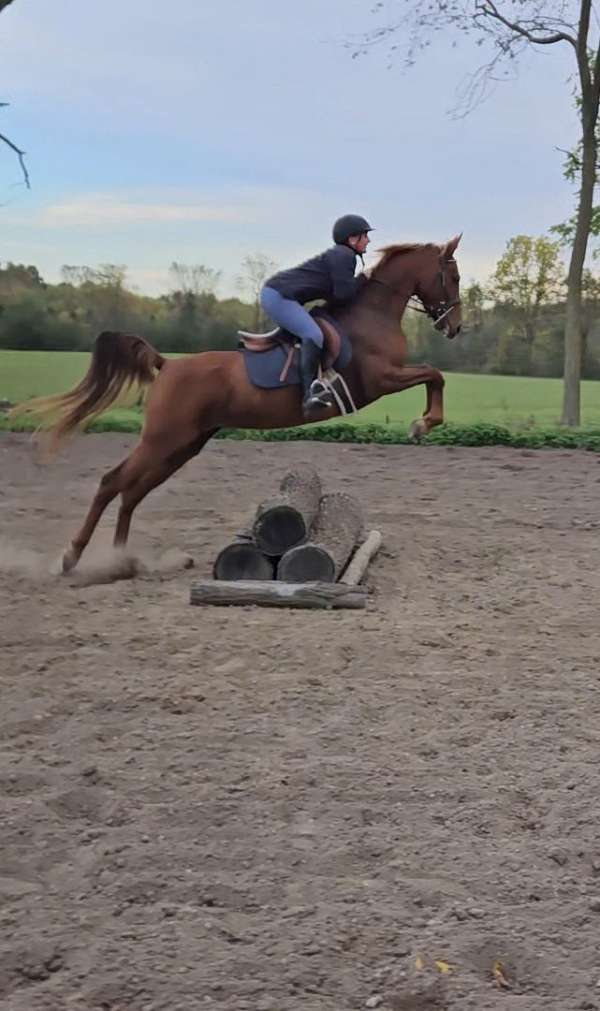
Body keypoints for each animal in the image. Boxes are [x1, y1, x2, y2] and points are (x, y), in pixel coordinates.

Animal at [15, 235, 462, 573]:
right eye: (453, 276)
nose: (455, 327)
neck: (373, 312)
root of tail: (167, 364)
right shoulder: (381, 378)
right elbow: (434, 374)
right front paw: (424, 423)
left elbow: (434, 375)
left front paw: (424, 422)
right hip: (161, 439)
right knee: (112, 483)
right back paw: (73, 557)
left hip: (183, 445)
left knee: (132, 492)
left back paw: (123, 561)